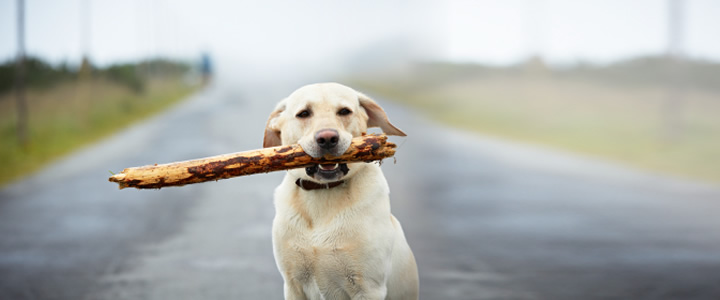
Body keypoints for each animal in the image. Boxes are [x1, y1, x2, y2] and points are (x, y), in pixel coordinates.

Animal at [264, 82, 420, 300]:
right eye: (304, 114)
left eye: (344, 111)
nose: (327, 138)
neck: (323, 194)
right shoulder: (293, 284)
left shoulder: (368, 288)